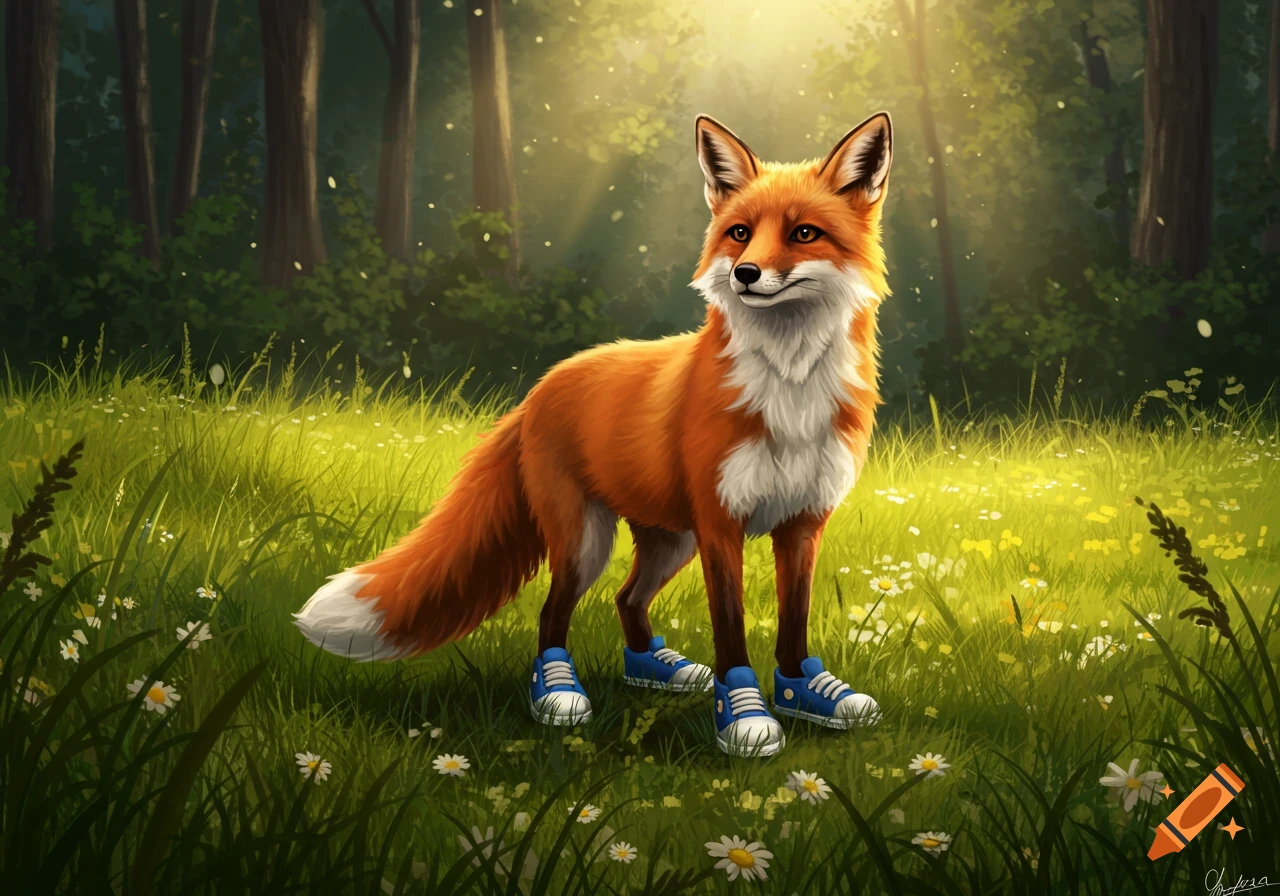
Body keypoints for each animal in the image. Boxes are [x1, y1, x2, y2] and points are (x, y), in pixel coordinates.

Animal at [295, 111, 895, 757]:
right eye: (739, 233)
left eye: (804, 233)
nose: (745, 274)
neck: (789, 389)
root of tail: (542, 385)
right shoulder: (721, 523)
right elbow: (731, 630)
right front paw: (745, 716)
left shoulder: (803, 522)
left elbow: (794, 625)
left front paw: (805, 692)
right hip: (587, 540)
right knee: (552, 613)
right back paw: (558, 692)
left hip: (670, 539)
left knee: (625, 599)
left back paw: (653, 668)